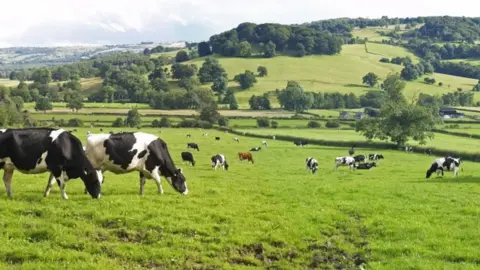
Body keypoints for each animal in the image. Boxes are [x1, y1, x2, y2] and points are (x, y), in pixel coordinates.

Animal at [55, 132, 187, 195]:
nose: (186, 192)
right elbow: (158, 181)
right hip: (93, 165)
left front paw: (141, 193)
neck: (157, 148)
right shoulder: (152, 168)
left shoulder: (143, 169)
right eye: (181, 180)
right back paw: (87, 192)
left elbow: (142, 182)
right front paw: (161, 192)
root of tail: (91, 135)